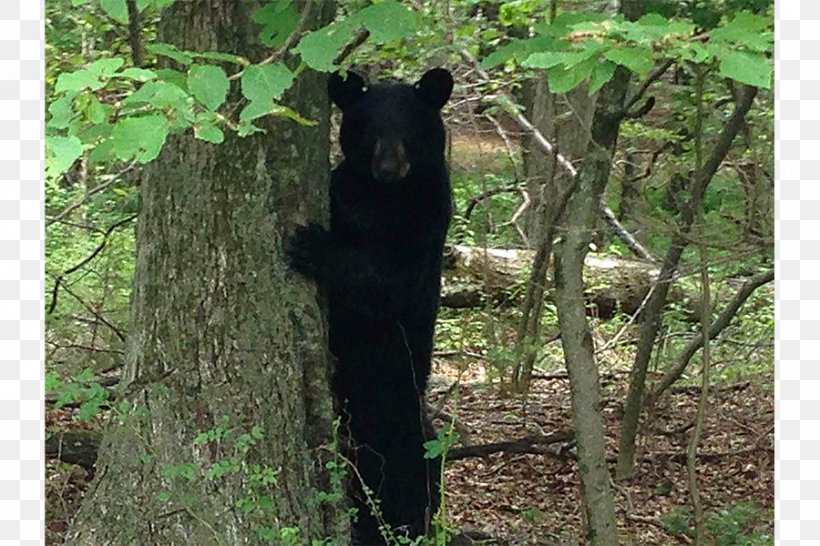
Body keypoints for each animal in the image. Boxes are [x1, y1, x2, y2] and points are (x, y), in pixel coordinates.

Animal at [286, 69, 454, 544]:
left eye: (410, 127)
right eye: (368, 127)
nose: (389, 167)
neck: (385, 198)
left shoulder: (427, 218)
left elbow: (384, 282)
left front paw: (311, 246)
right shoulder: (346, 191)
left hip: (405, 433)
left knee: (414, 480)